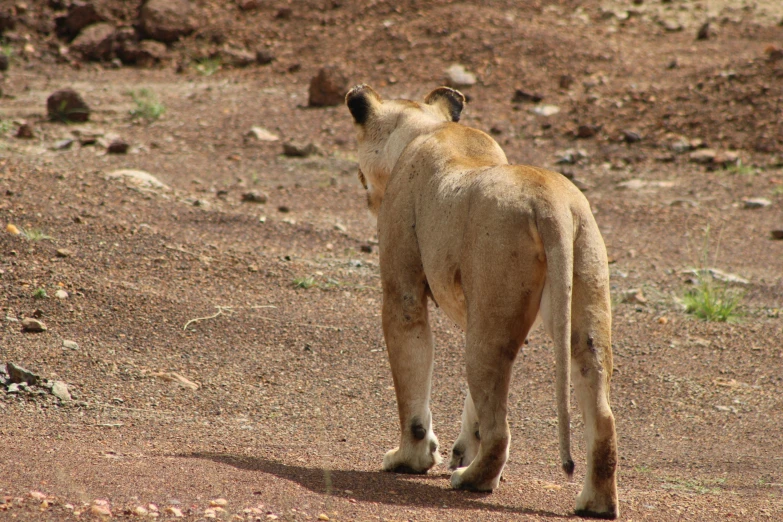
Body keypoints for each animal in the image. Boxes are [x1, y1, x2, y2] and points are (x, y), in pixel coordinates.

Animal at [346, 85, 620, 516]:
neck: (426, 129)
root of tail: (550, 202)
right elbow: (470, 406)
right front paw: (459, 449)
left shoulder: (403, 291)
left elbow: (412, 381)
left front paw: (410, 459)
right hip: (583, 300)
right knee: (602, 412)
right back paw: (596, 503)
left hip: (488, 328)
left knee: (499, 429)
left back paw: (472, 480)